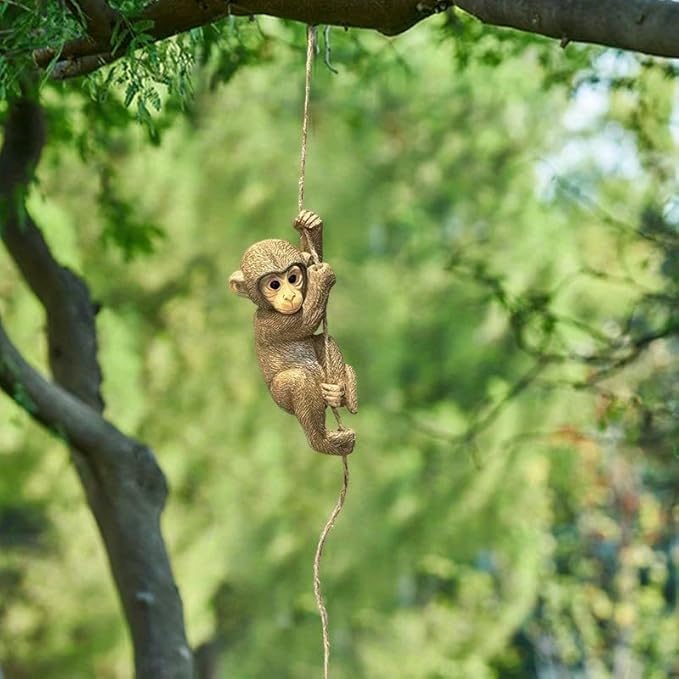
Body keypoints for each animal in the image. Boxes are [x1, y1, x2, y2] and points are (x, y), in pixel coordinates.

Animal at [229, 210, 357, 456]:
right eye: (274, 285)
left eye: (293, 278)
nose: (288, 296)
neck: (268, 308)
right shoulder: (269, 324)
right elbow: (305, 320)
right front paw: (321, 277)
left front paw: (311, 225)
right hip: (281, 397)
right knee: (299, 382)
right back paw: (324, 442)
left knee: (322, 341)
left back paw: (340, 393)